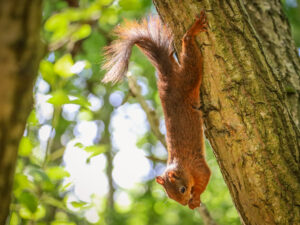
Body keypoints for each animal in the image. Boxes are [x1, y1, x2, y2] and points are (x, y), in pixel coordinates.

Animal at [102, 10, 210, 207]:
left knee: (191, 58)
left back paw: (192, 32)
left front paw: (195, 198)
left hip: (188, 78)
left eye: (182, 189)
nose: (184, 204)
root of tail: (167, 78)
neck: (183, 167)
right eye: (170, 196)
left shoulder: (198, 167)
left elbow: (205, 177)